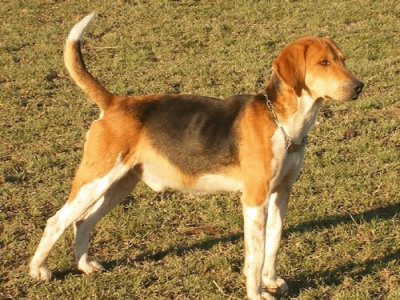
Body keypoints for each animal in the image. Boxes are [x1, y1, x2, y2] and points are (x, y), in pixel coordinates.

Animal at [29, 12, 364, 300]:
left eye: (343, 60)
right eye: (323, 63)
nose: (359, 86)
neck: (281, 121)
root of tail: (114, 103)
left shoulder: (281, 194)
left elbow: (273, 243)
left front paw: (271, 281)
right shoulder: (254, 200)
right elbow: (255, 255)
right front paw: (256, 292)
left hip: (118, 185)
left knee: (83, 222)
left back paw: (85, 266)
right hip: (94, 181)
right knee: (56, 222)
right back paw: (38, 270)